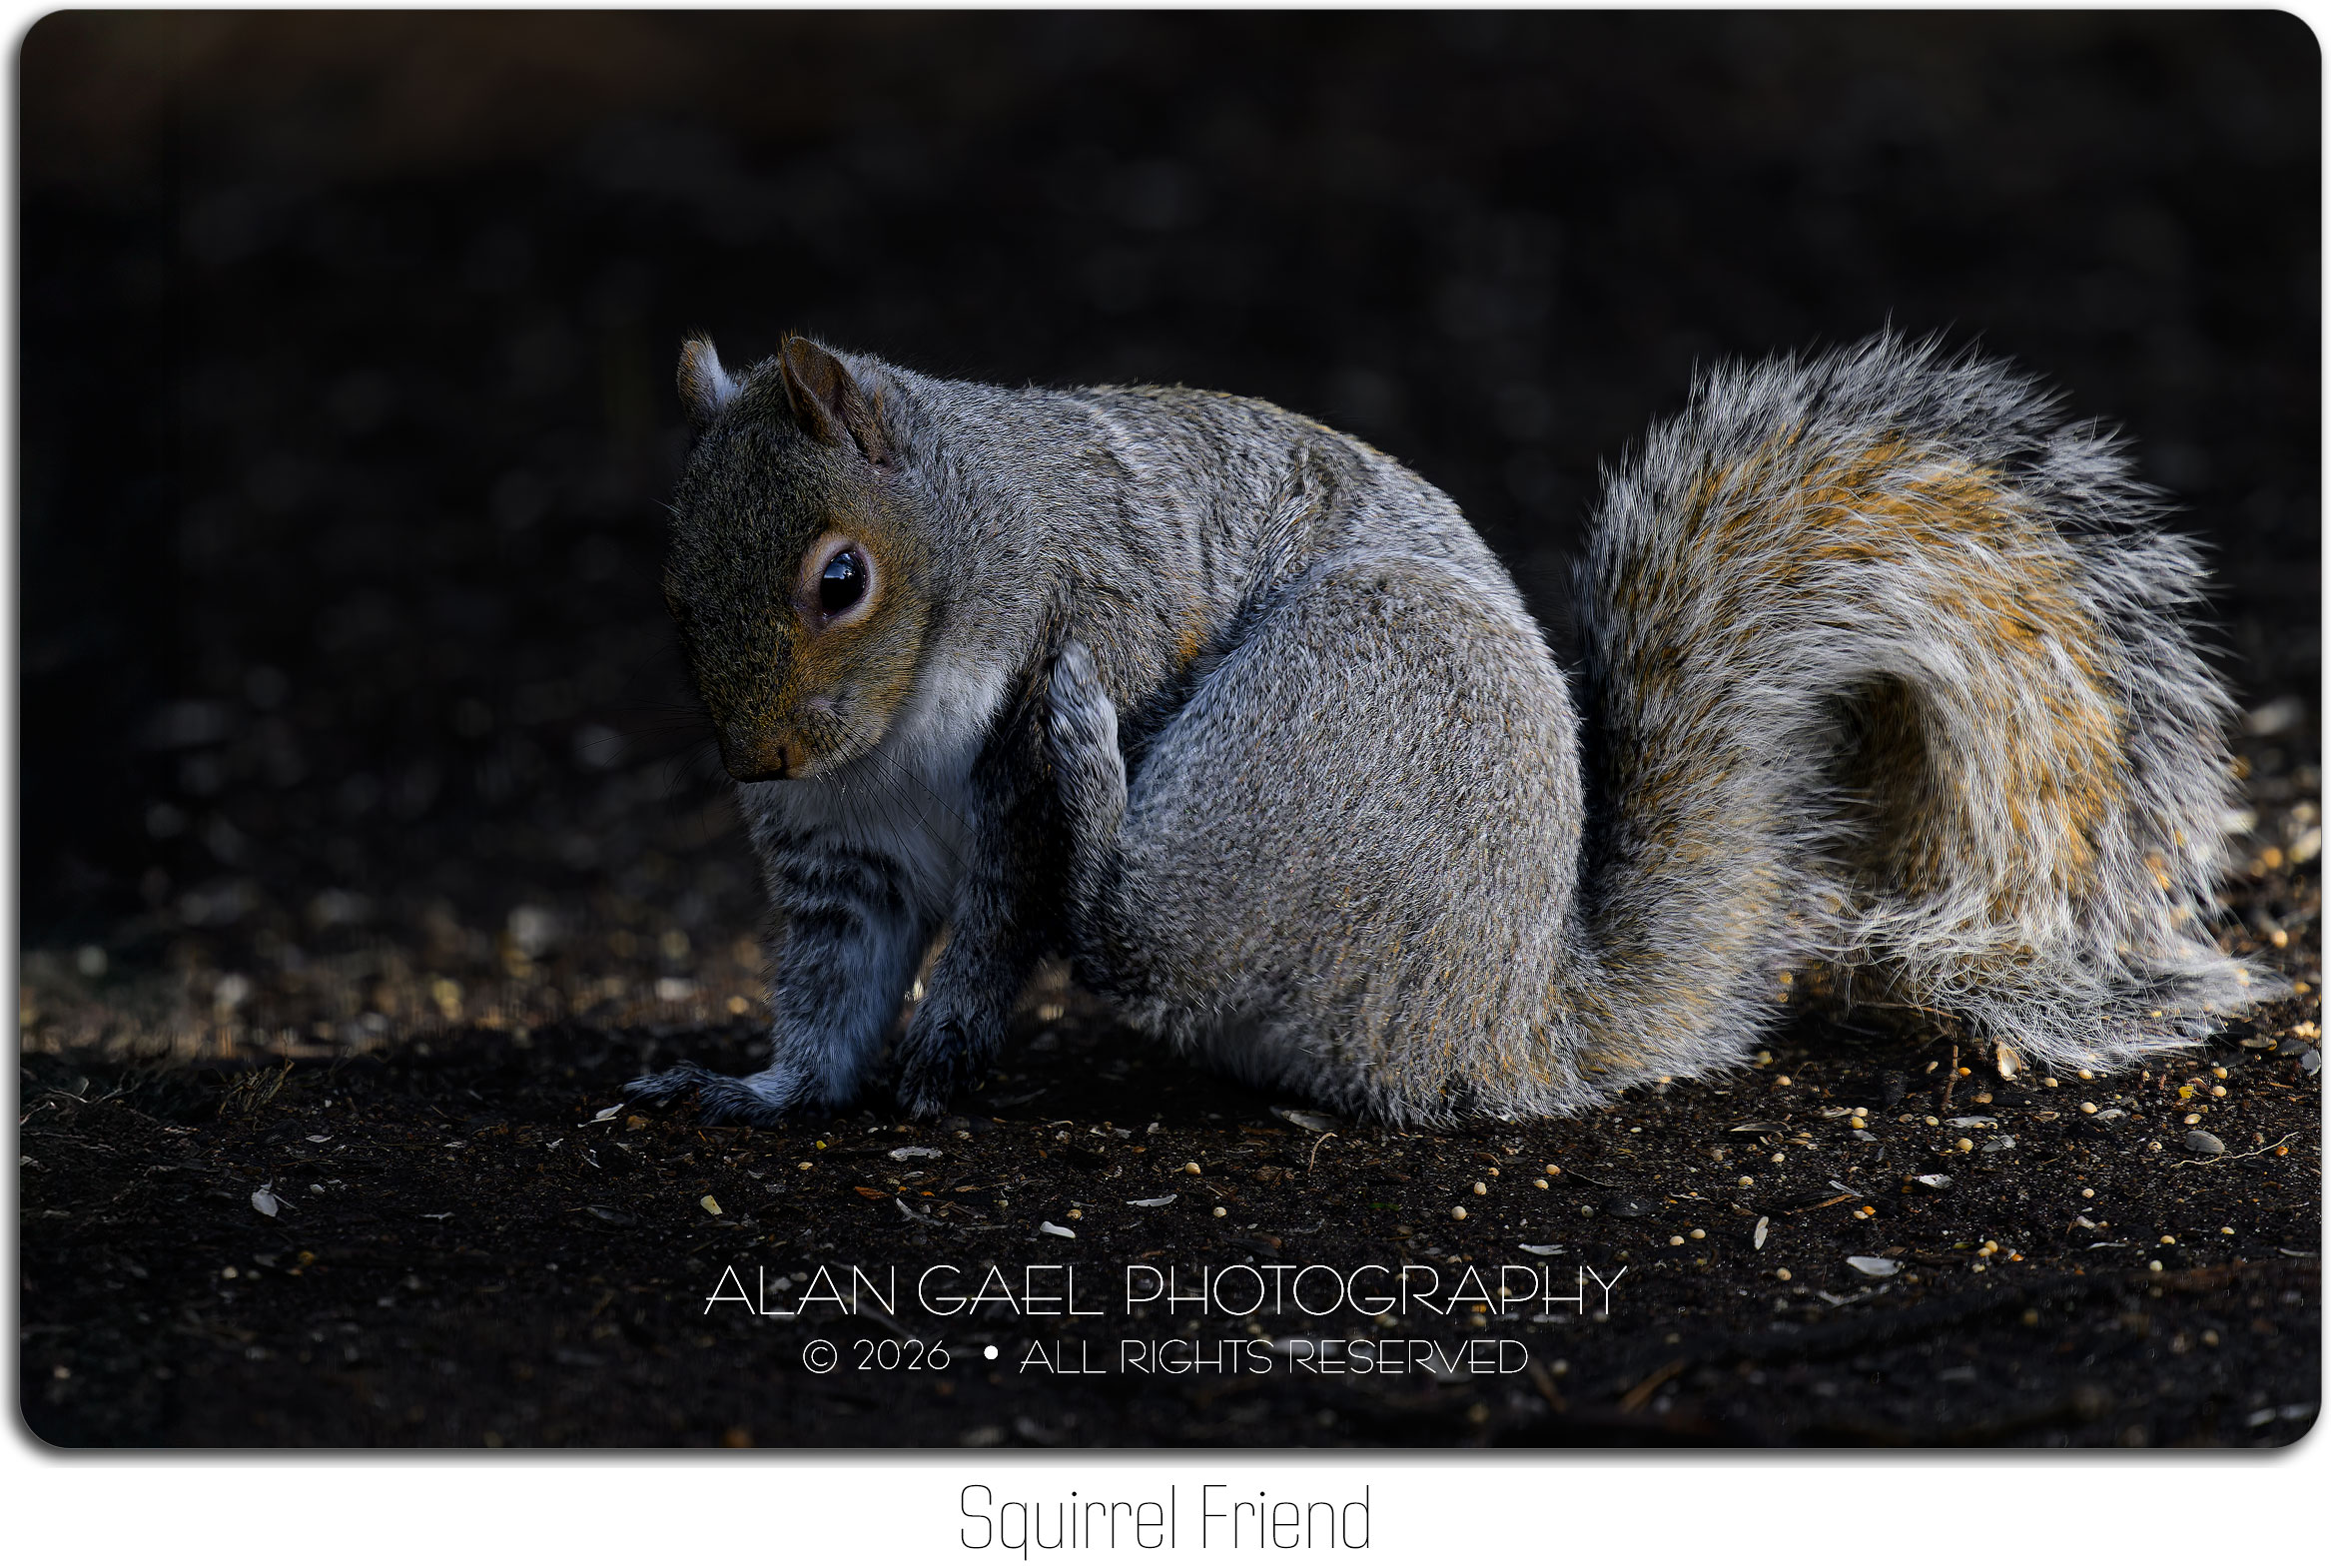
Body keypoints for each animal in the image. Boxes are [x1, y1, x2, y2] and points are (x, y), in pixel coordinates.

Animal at [627, 330, 2272, 1127]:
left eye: (839, 578)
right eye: (667, 585)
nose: (756, 758)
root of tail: (1508, 1014)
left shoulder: (1077, 636)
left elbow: (1006, 913)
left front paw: (949, 1043)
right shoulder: (834, 849)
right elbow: (832, 981)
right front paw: (764, 1089)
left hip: (1343, 709)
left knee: (1143, 940)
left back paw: (1102, 774)